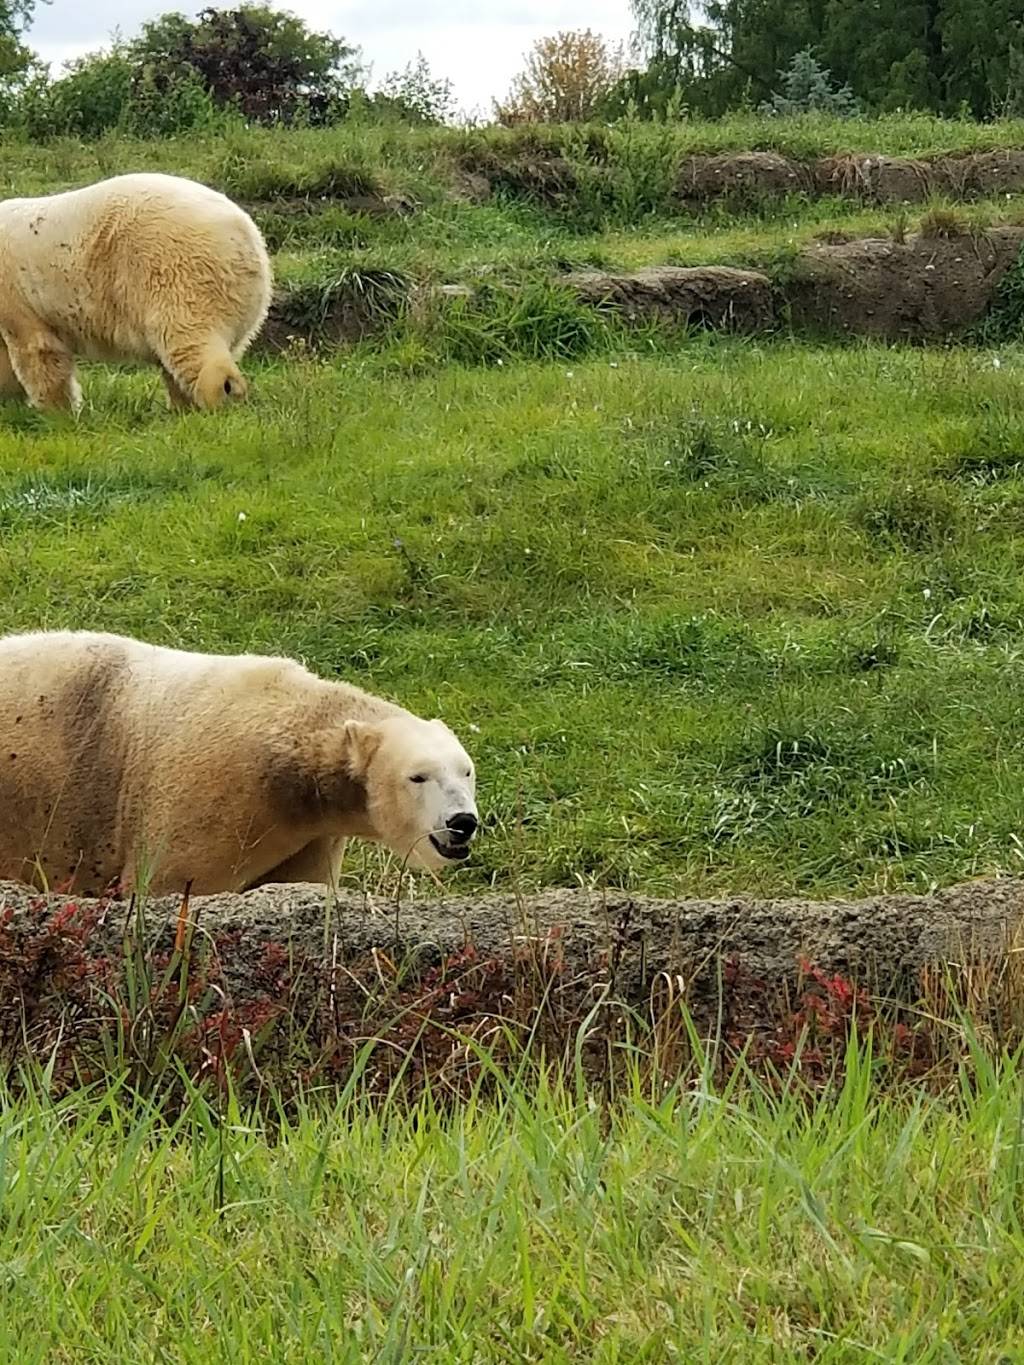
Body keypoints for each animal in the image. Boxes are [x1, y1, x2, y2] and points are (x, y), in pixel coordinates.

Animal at [0, 168, 273, 409]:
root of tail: (245, 234)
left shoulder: (15, 295)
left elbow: (37, 350)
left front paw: (57, 412)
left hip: (177, 271)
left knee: (190, 342)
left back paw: (216, 398)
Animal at [0, 627, 480, 895]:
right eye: (418, 776)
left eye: (466, 771)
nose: (463, 822)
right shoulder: (215, 798)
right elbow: (168, 883)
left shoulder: (310, 834)